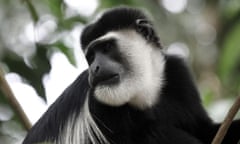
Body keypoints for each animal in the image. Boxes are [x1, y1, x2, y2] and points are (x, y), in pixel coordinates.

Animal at [22, 6, 240, 144]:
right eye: (91, 57)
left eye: (107, 47)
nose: (94, 68)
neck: (142, 89)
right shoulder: (98, 107)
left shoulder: (178, 74)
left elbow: (204, 129)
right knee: (153, 132)